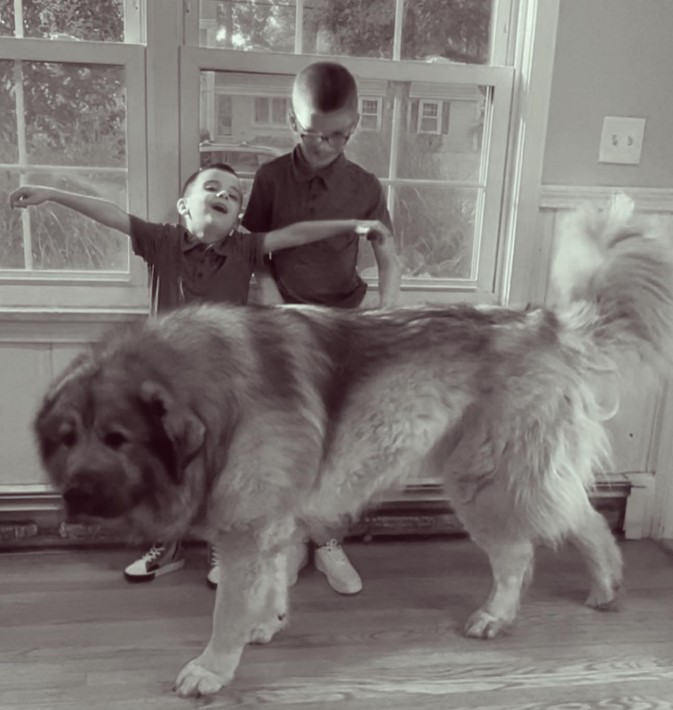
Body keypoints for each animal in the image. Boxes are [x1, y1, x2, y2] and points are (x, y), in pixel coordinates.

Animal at [34, 197, 672, 700]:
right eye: (67, 438)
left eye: (118, 439)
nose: (75, 497)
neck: (212, 391)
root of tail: (549, 325)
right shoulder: (272, 522)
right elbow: (271, 584)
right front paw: (267, 625)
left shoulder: (246, 530)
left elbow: (228, 607)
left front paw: (213, 667)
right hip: (512, 475)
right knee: (583, 515)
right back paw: (607, 586)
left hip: (483, 482)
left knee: (523, 552)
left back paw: (498, 615)